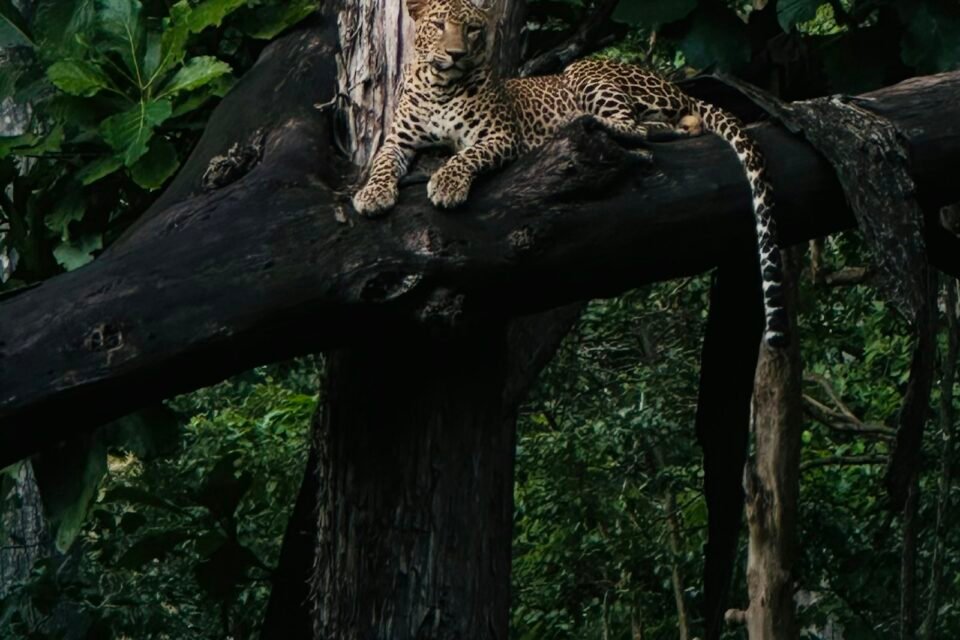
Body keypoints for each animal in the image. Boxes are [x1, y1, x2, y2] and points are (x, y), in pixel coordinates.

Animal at [351, 0, 787, 347]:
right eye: (439, 25)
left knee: (637, 124)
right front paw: (372, 195)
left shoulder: (501, 135)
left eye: (473, 30)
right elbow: (382, 164)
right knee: (676, 125)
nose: (456, 54)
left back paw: (588, 120)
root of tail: (674, 85)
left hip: (586, 70)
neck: (440, 85)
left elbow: (466, 156)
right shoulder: (398, 141)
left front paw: (446, 183)